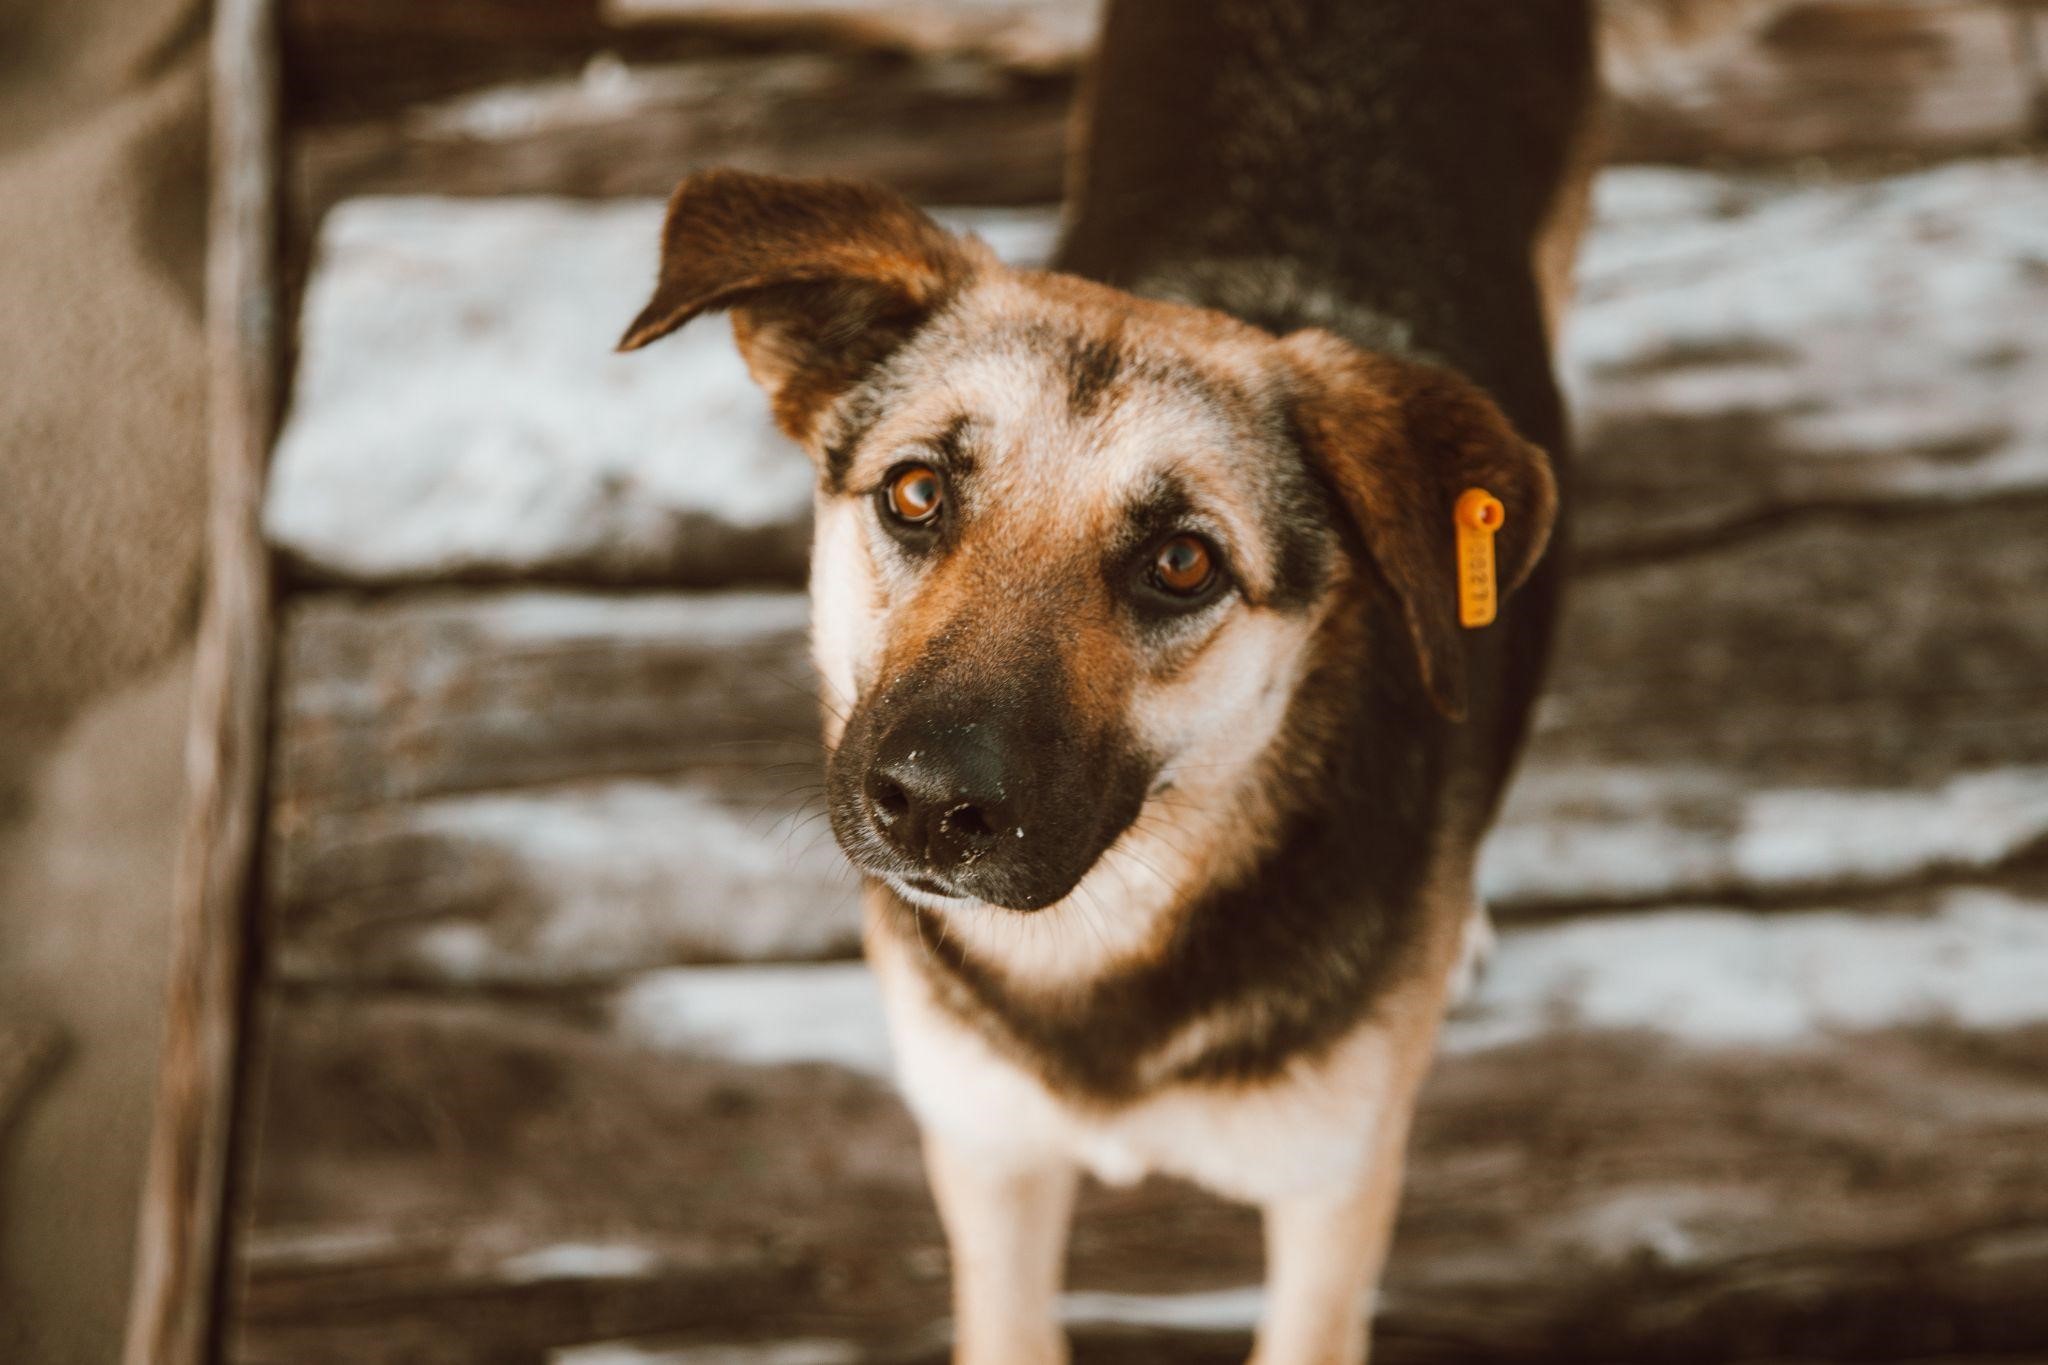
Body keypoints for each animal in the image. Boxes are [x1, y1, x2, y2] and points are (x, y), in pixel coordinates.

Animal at [622, 0, 1597, 1358]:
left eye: (1181, 563)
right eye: (914, 492)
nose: (930, 805)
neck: (1096, 932)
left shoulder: (1330, 1201)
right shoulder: (987, 1154)